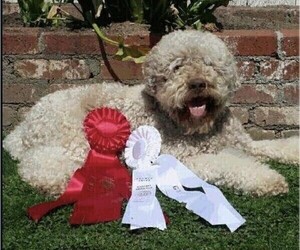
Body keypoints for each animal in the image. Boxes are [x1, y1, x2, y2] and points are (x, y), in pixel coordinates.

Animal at [3, 29, 298, 197]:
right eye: (177, 67)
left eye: (209, 64)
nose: (197, 84)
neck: (201, 127)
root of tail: (23, 126)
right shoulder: (184, 159)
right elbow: (231, 165)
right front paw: (268, 179)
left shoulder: (246, 143)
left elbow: (278, 146)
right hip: (71, 137)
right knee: (38, 164)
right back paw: (57, 183)